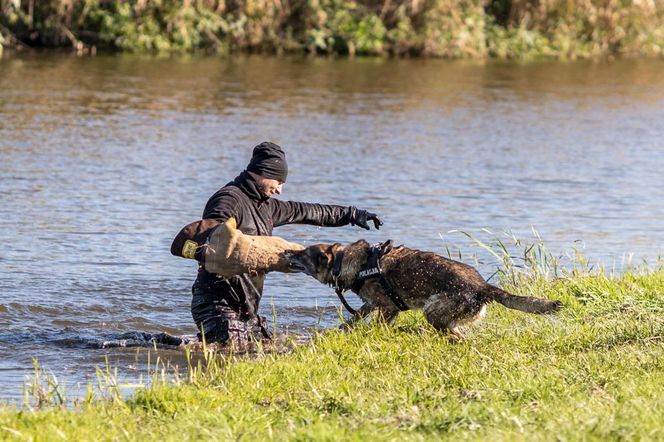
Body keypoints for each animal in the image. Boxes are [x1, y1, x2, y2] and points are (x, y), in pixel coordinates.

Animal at [288, 242, 564, 338]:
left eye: (303, 253)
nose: (287, 251)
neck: (349, 263)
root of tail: (483, 286)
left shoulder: (386, 307)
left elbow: (376, 324)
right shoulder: (372, 304)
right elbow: (353, 319)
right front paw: (342, 330)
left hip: (432, 309)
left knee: (454, 334)